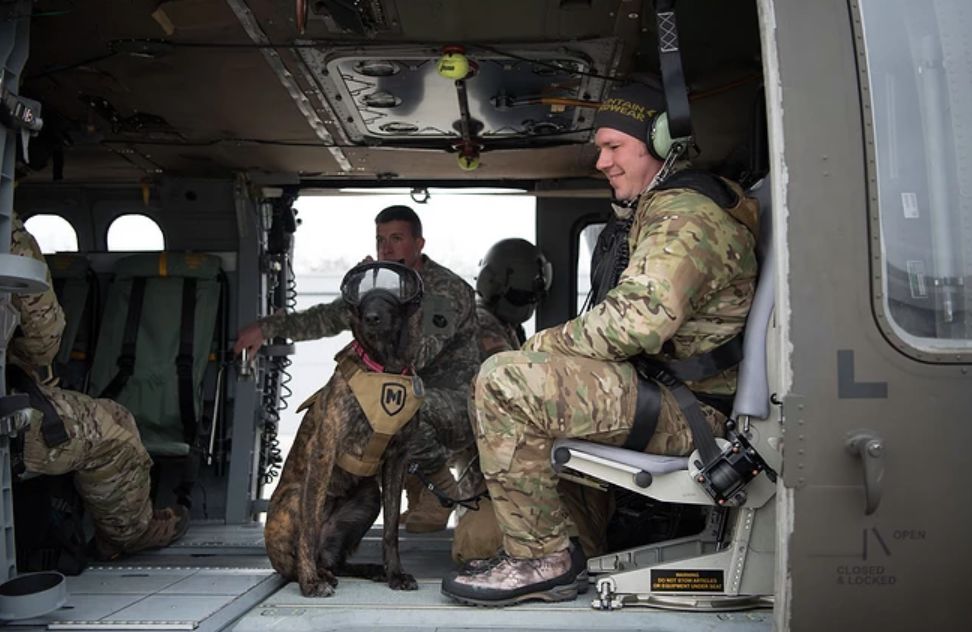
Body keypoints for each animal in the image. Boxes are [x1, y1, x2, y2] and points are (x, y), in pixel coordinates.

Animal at [264, 262, 424, 596]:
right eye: (360, 292)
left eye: (395, 290)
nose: (371, 317)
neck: (385, 367)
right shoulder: (324, 454)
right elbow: (308, 529)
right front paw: (310, 583)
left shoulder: (398, 460)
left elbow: (391, 530)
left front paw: (395, 574)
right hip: (297, 496)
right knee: (301, 553)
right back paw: (314, 574)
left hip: (369, 497)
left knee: (336, 561)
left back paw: (368, 569)